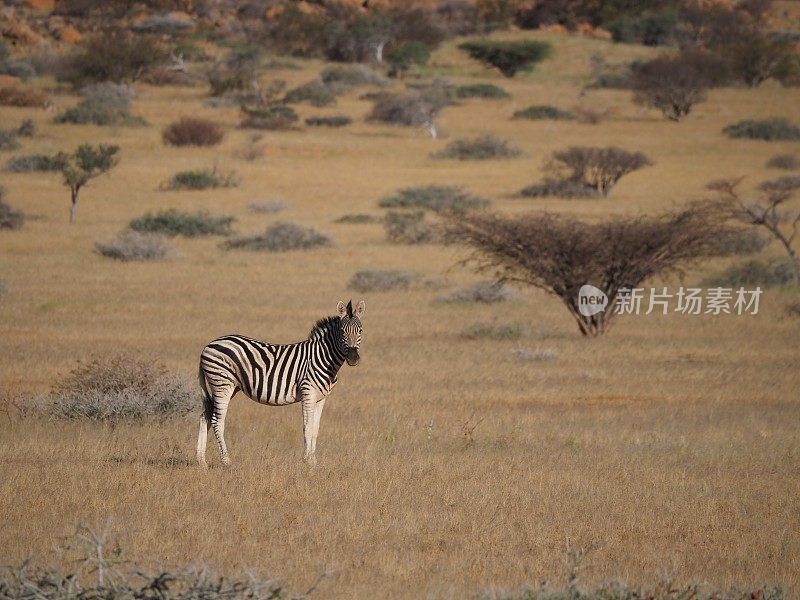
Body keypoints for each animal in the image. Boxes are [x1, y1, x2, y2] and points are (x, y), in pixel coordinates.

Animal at [197, 300, 366, 468]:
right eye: (342, 332)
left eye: (360, 330)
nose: (353, 358)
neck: (323, 358)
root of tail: (208, 346)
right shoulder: (308, 392)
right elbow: (307, 427)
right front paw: (307, 461)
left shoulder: (321, 397)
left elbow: (315, 429)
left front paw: (313, 462)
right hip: (222, 384)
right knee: (217, 421)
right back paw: (226, 461)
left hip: (228, 387)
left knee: (205, 416)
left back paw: (201, 461)